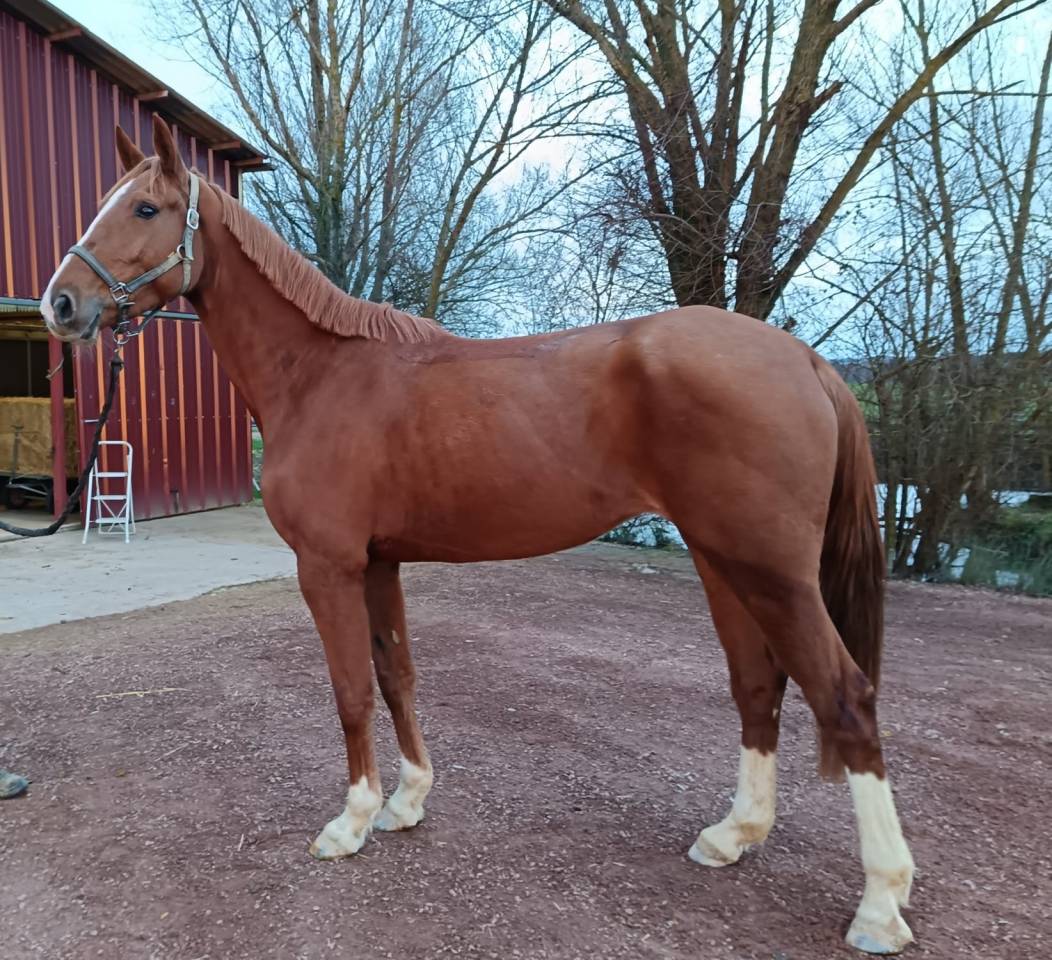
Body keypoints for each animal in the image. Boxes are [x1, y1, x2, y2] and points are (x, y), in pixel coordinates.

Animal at [41, 117, 915, 955]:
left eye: (144, 209)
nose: (60, 304)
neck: (321, 377)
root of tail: (806, 359)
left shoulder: (327, 566)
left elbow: (351, 689)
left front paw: (351, 822)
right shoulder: (379, 563)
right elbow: (397, 677)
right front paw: (407, 802)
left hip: (771, 571)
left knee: (845, 697)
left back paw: (880, 903)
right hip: (723, 560)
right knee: (758, 686)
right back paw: (733, 836)